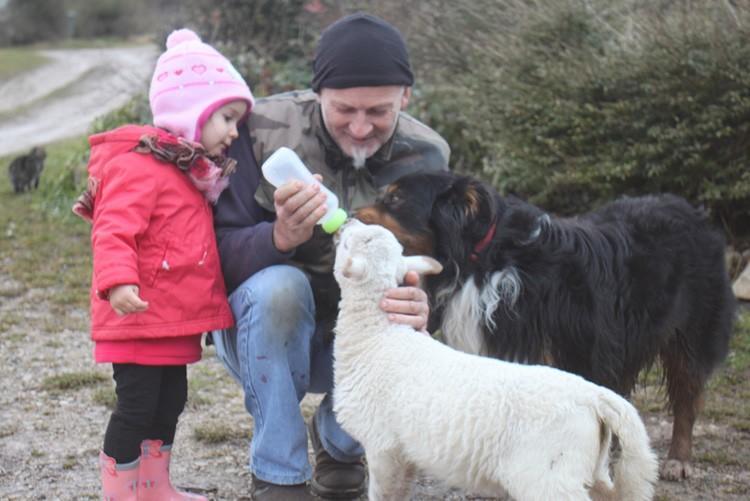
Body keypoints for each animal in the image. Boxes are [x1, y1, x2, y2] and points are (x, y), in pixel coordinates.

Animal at [334, 221, 656, 500]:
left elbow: (384, 492)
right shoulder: (404, 452)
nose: (347, 222)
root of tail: (595, 396)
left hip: (550, 474)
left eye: (350, 244)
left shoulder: (383, 446)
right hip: (591, 467)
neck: (377, 338)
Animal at [356, 171, 736, 480]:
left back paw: (678, 459)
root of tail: (690, 209)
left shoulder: (569, 354)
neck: (485, 259)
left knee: (687, 395)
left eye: (395, 199)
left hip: (693, 331)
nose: (350, 219)